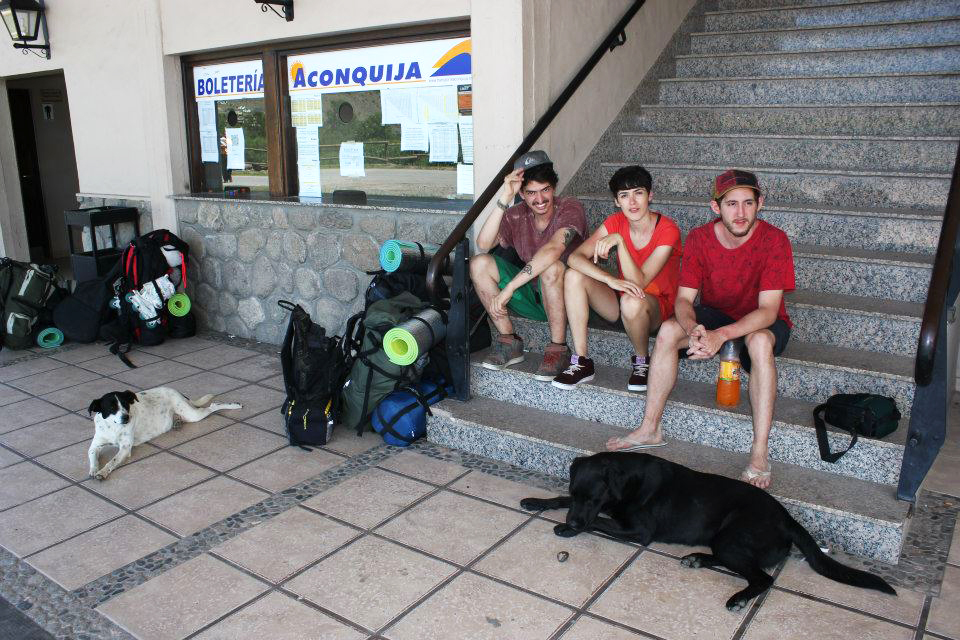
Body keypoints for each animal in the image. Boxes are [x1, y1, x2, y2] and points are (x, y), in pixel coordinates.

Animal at [520, 450, 896, 608]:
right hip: (724, 541)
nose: (572, 523)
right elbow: (559, 500)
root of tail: (789, 519)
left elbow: (598, 521)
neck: (625, 481)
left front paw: (567, 529)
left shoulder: (639, 532)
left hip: (732, 537)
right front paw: (536, 501)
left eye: (594, 496)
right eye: (575, 493)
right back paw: (697, 559)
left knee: (762, 577)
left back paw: (738, 598)